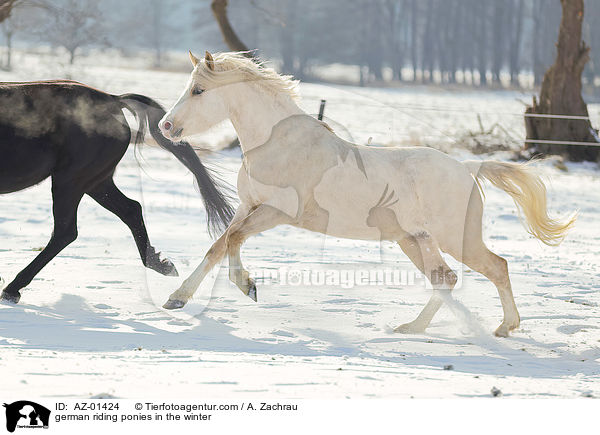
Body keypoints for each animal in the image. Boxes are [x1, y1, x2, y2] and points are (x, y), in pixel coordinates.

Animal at [0, 80, 234, 304]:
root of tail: (114, 100)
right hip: (96, 183)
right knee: (131, 209)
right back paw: (160, 263)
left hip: (71, 180)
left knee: (65, 232)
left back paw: (12, 289)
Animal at [159, 51, 576, 338]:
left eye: (198, 90)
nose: (166, 126)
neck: (279, 143)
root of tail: (468, 168)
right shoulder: (248, 206)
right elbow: (219, 246)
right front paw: (177, 297)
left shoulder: (276, 213)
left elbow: (234, 241)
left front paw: (248, 287)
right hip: (414, 240)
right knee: (445, 278)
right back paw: (413, 328)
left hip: (456, 239)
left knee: (496, 267)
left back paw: (505, 327)